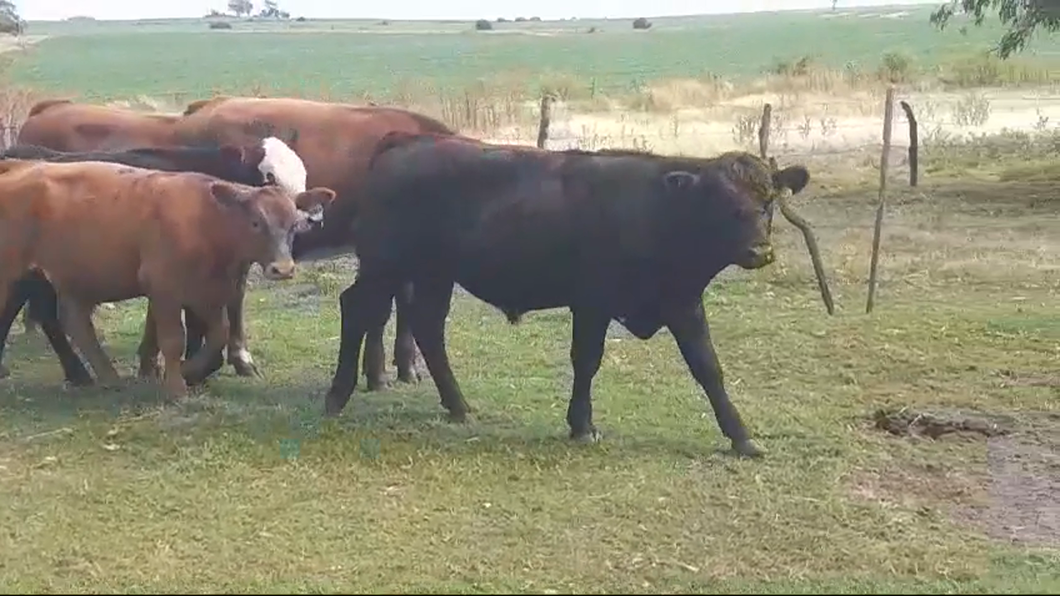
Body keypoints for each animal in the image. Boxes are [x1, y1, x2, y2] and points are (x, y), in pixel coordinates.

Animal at [0, 160, 334, 396]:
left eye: (293, 225)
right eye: (255, 222)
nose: (283, 268)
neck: (206, 221)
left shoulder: (209, 292)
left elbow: (219, 335)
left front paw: (189, 372)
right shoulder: (164, 288)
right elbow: (173, 340)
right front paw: (176, 388)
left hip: (74, 279)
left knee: (75, 322)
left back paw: (106, 377)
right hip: (14, 275)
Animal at [320, 134, 809, 456]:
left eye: (768, 201)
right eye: (720, 202)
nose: (759, 251)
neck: (657, 211)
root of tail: (405, 146)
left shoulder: (683, 301)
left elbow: (708, 367)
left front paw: (741, 436)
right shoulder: (593, 301)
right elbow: (586, 360)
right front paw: (582, 425)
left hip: (433, 275)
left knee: (427, 329)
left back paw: (458, 405)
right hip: (386, 266)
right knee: (357, 308)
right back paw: (336, 397)